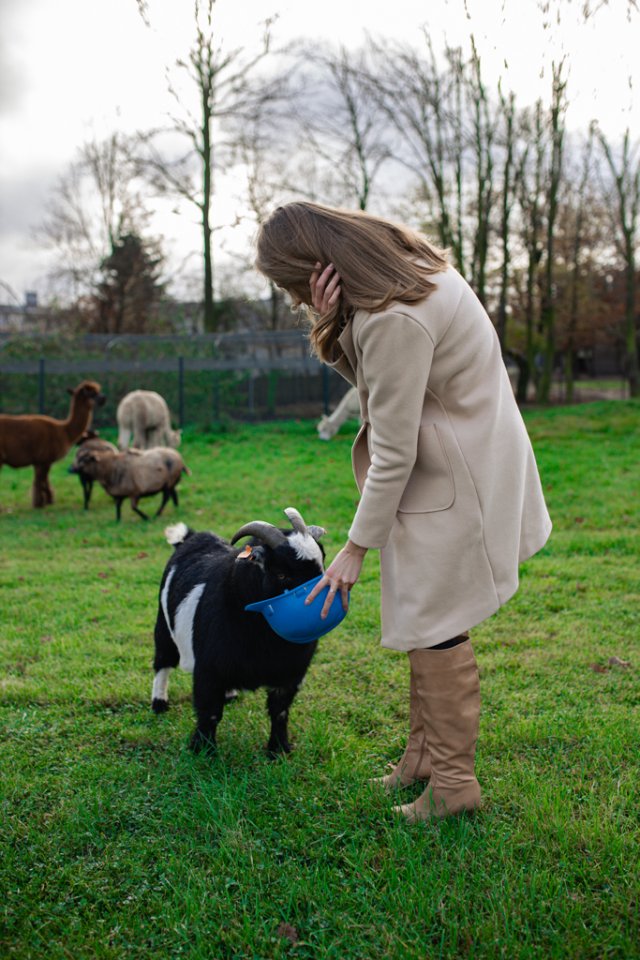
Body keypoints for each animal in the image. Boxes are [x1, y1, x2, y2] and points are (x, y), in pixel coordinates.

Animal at [0, 378, 105, 506]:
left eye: (97, 391)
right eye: (91, 393)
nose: (104, 398)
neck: (63, 431)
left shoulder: (40, 461)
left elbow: (42, 481)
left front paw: (45, 501)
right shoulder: (43, 459)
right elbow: (41, 482)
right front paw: (40, 504)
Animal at [152, 506, 328, 752]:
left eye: (322, 563)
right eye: (281, 574)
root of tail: (191, 537)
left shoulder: (290, 673)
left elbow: (280, 711)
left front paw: (279, 749)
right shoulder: (208, 670)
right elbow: (210, 712)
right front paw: (203, 750)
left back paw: (230, 695)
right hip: (163, 625)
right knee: (163, 661)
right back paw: (159, 703)